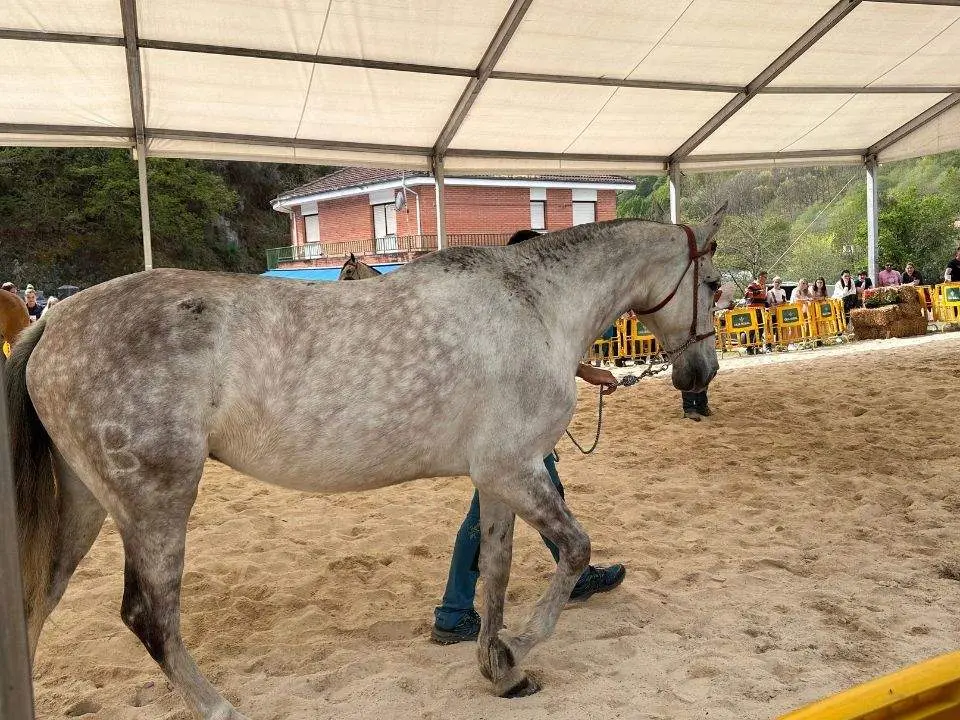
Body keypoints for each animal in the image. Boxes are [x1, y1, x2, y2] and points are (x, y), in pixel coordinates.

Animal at [7, 208, 725, 720]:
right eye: (715, 285)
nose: (701, 374)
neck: (535, 305)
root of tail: (55, 321)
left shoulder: (497, 477)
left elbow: (494, 570)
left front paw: (502, 670)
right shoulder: (517, 469)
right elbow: (573, 549)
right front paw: (517, 647)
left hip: (86, 506)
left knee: (37, 604)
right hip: (157, 501)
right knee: (149, 616)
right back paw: (219, 707)